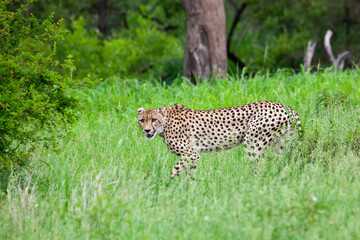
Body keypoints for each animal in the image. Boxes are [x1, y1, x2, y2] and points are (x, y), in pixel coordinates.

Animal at [137, 101, 300, 178]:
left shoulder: (191, 154)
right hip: (282, 145)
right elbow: (190, 175)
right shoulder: (191, 156)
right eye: (141, 120)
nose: (147, 130)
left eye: (153, 120)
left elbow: (175, 171)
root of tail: (286, 107)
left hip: (253, 143)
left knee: (261, 166)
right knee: (286, 163)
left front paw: (165, 186)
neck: (165, 123)